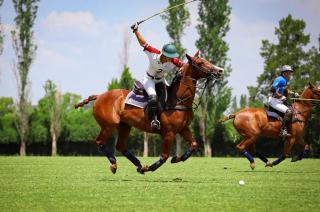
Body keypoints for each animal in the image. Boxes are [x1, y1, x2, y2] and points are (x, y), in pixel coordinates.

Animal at [74, 51, 222, 174]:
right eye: (200, 62)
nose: (219, 70)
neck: (178, 100)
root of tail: (99, 96)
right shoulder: (169, 133)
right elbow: (164, 156)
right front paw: (149, 167)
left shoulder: (183, 129)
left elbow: (194, 145)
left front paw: (177, 158)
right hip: (109, 125)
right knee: (99, 142)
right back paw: (115, 163)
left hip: (125, 125)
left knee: (120, 145)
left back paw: (138, 165)